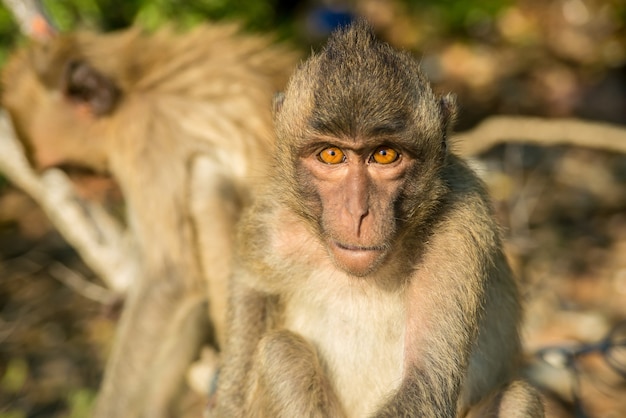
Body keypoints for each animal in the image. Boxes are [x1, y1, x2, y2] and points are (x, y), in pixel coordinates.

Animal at [0, 22, 298, 418]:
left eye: (72, 169)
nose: (84, 191)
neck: (137, 80)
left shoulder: (147, 133)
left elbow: (169, 281)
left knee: (205, 181)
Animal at [212, 20, 544, 418]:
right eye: (331, 154)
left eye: (385, 155)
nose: (358, 212)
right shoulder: (273, 220)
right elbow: (252, 286)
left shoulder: (461, 228)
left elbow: (424, 382)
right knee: (282, 354)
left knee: (518, 397)